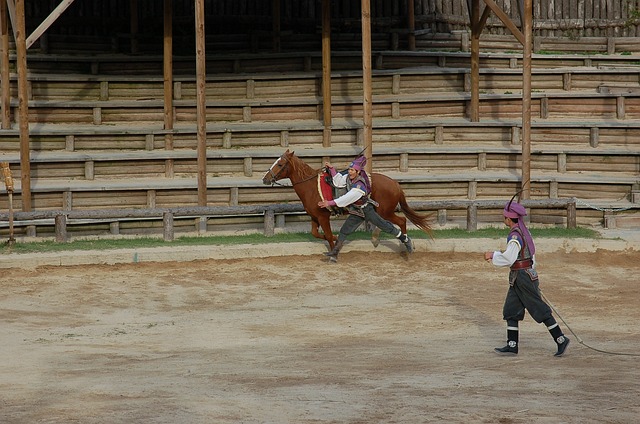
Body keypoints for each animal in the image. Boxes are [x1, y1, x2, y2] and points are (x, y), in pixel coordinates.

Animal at [262, 149, 436, 250]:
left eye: (280, 164)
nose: (265, 179)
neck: (311, 187)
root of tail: (395, 184)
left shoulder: (323, 217)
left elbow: (328, 236)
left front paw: (334, 245)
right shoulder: (314, 217)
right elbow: (315, 233)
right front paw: (335, 238)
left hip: (385, 211)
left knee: (401, 221)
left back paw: (404, 243)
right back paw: (378, 239)